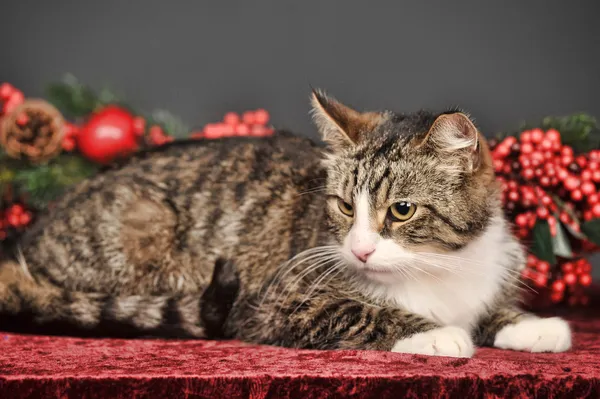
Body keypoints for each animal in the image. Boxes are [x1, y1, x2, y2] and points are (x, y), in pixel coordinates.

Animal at [0, 91, 572, 360]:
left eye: (401, 211)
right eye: (344, 207)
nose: (360, 250)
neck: (438, 267)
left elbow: (492, 308)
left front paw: (530, 324)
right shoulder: (280, 304)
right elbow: (365, 313)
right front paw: (437, 334)